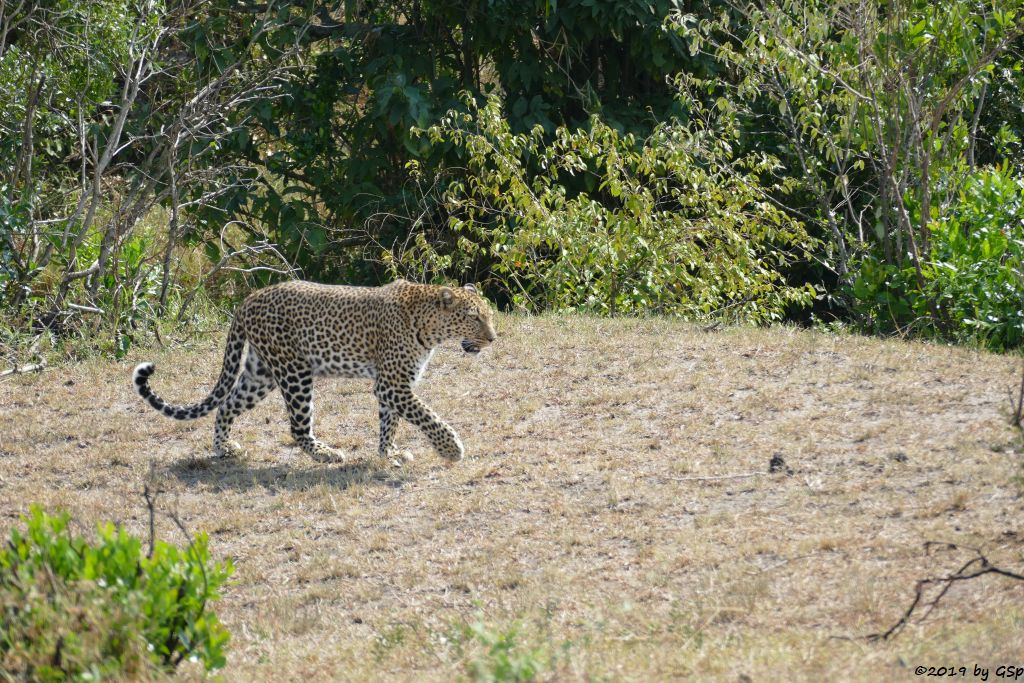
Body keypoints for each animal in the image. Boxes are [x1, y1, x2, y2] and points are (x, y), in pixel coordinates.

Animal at [130, 278, 497, 464]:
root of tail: (248, 298)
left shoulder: (391, 385)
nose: (493, 338)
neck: (429, 325)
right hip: (294, 372)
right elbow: (427, 416)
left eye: (488, 315)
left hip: (260, 373)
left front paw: (388, 453)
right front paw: (451, 449)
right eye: (474, 317)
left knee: (227, 404)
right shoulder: (392, 384)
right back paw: (325, 453)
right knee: (297, 428)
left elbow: (390, 422)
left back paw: (225, 448)